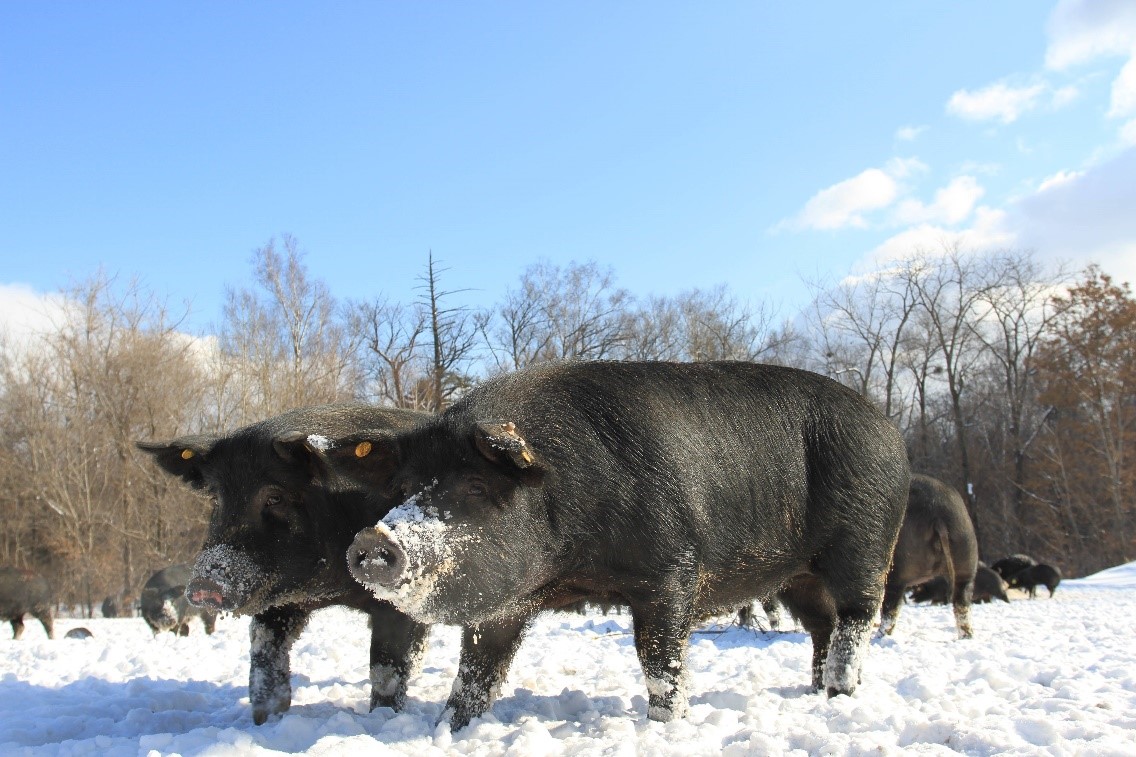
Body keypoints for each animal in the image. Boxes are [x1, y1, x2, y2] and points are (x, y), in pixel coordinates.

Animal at [136, 404, 429, 722]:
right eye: (216, 498)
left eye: (274, 496)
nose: (205, 584)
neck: (330, 588)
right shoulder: (275, 601)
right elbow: (265, 660)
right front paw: (266, 719)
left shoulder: (395, 601)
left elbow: (386, 668)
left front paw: (383, 717)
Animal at [324, 359, 908, 727]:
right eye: (403, 489)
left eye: (473, 484)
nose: (372, 539)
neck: (572, 567)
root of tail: (890, 429)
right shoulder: (507, 606)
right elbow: (477, 674)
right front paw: (450, 730)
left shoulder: (672, 573)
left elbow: (660, 664)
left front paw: (668, 727)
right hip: (796, 577)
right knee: (822, 625)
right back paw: (818, 691)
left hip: (865, 542)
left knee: (857, 618)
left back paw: (840, 692)